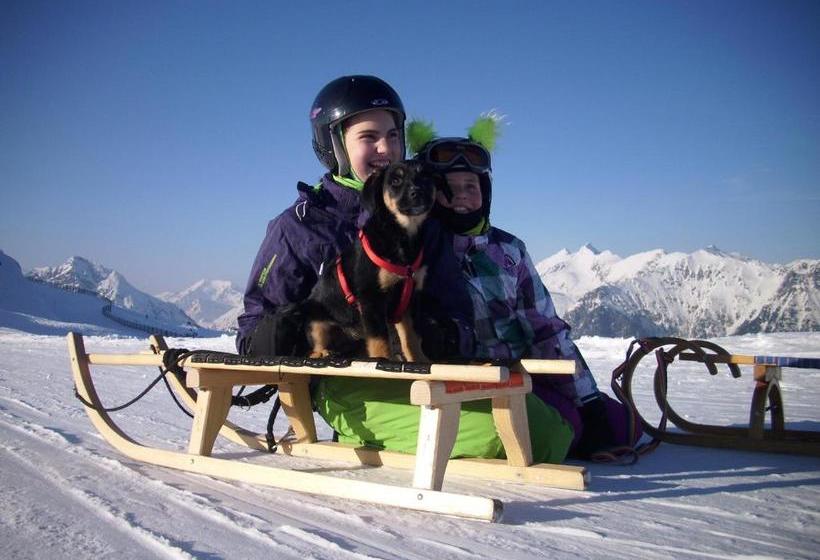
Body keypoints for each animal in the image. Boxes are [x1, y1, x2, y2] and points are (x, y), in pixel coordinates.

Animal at [285, 160, 445, 361]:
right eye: (395, 181)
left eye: (425, 176)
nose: (417, 191)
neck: (401, 237)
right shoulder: (371, 298)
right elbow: (379, 340)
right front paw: (382, 362)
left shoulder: (409, 299)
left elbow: (411, 338)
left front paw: (419, 360)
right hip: (316, 320)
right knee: (313, 347)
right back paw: (323, 353)